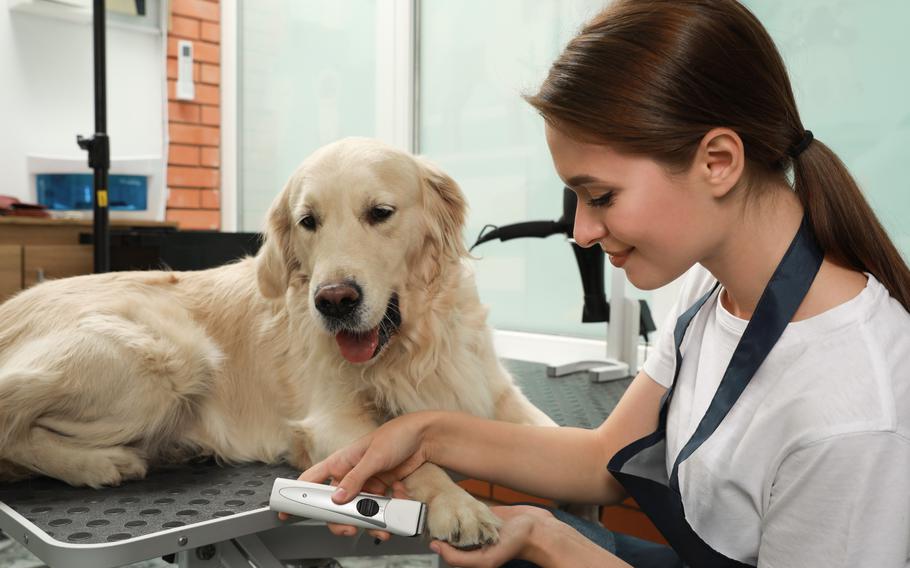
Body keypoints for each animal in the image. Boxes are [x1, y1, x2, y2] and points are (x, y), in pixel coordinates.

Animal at [0, 136, 556, 544]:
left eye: (380, 212)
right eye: (308, 221)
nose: (334, 301)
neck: (411, 347)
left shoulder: (494, 392)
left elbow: (545, 433)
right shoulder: (332, 421)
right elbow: (409, 456)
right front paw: (458, 504)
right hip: (175, 355)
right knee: (12, 428)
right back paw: (100, 463)